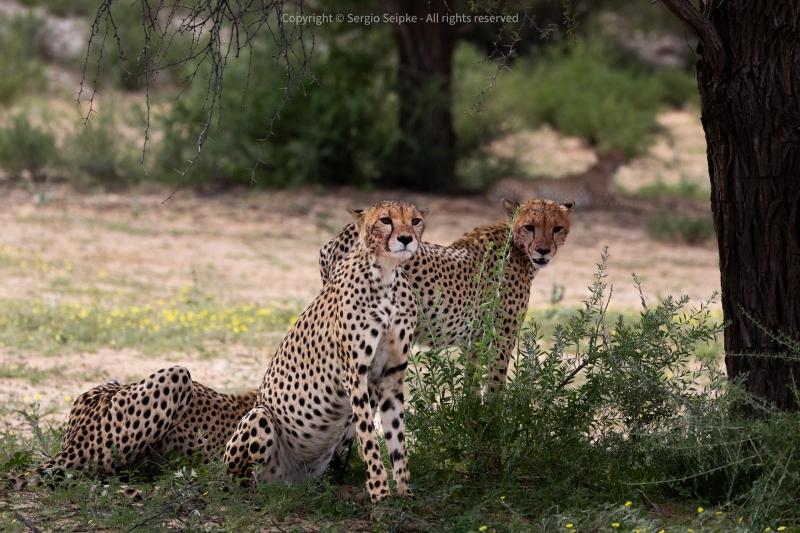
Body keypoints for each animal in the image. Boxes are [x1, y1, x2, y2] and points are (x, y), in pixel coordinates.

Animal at [223, 201, 424, 502]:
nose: (406, 239)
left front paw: (405, 494)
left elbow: (397, 439)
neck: (386, 275)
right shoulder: (355, 376)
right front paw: (380, 495)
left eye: (416, 220)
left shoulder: (391, 377)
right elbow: (370, 441)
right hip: (259, 416)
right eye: (385, 220)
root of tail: (288, 481)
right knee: (241, 481)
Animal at [318, 197, 576, 384]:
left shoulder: (474, 343)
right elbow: (494, 390)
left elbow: (471, 388)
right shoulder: (500, 342)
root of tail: (345, 231)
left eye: (557, 228)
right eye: (530, 227)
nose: (543, 251)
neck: (515, 243)